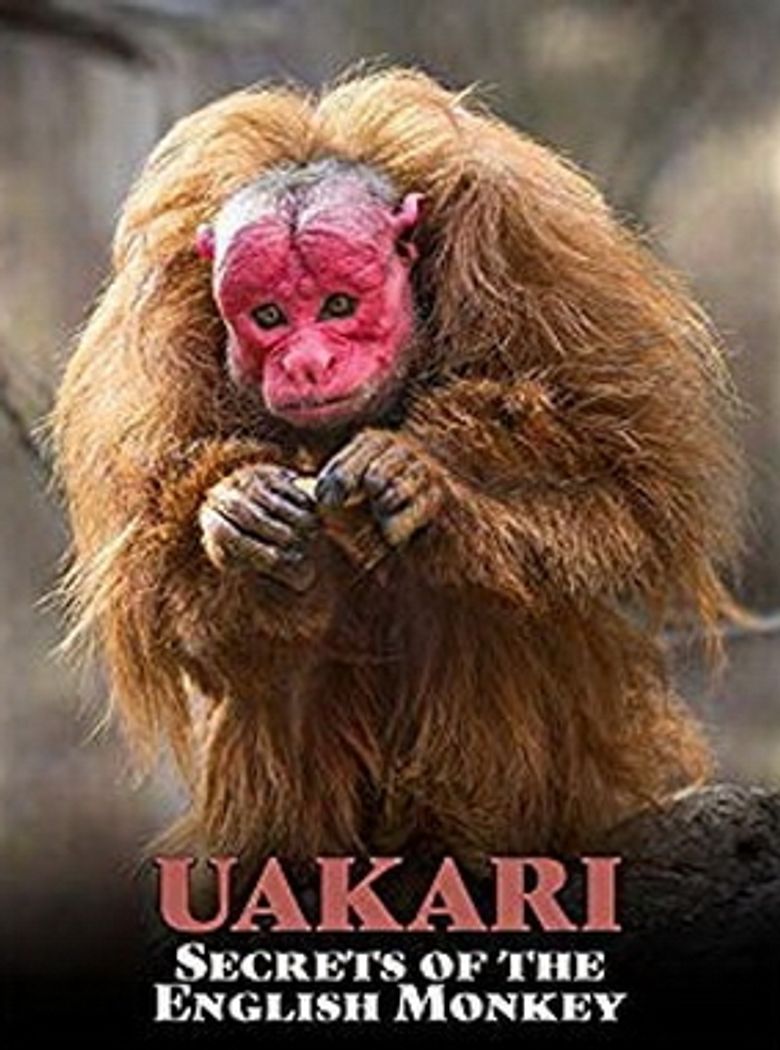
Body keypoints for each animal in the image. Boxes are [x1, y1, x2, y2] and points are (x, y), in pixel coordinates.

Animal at [52, 69, 741, 869]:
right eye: (268, 317)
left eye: (338, 305)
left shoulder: (533, 261)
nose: (307, 364)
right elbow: (164, 595)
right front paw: (234, 516)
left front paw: (427, 481)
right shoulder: (156, 349)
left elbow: (630, 495)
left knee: (473, 593)